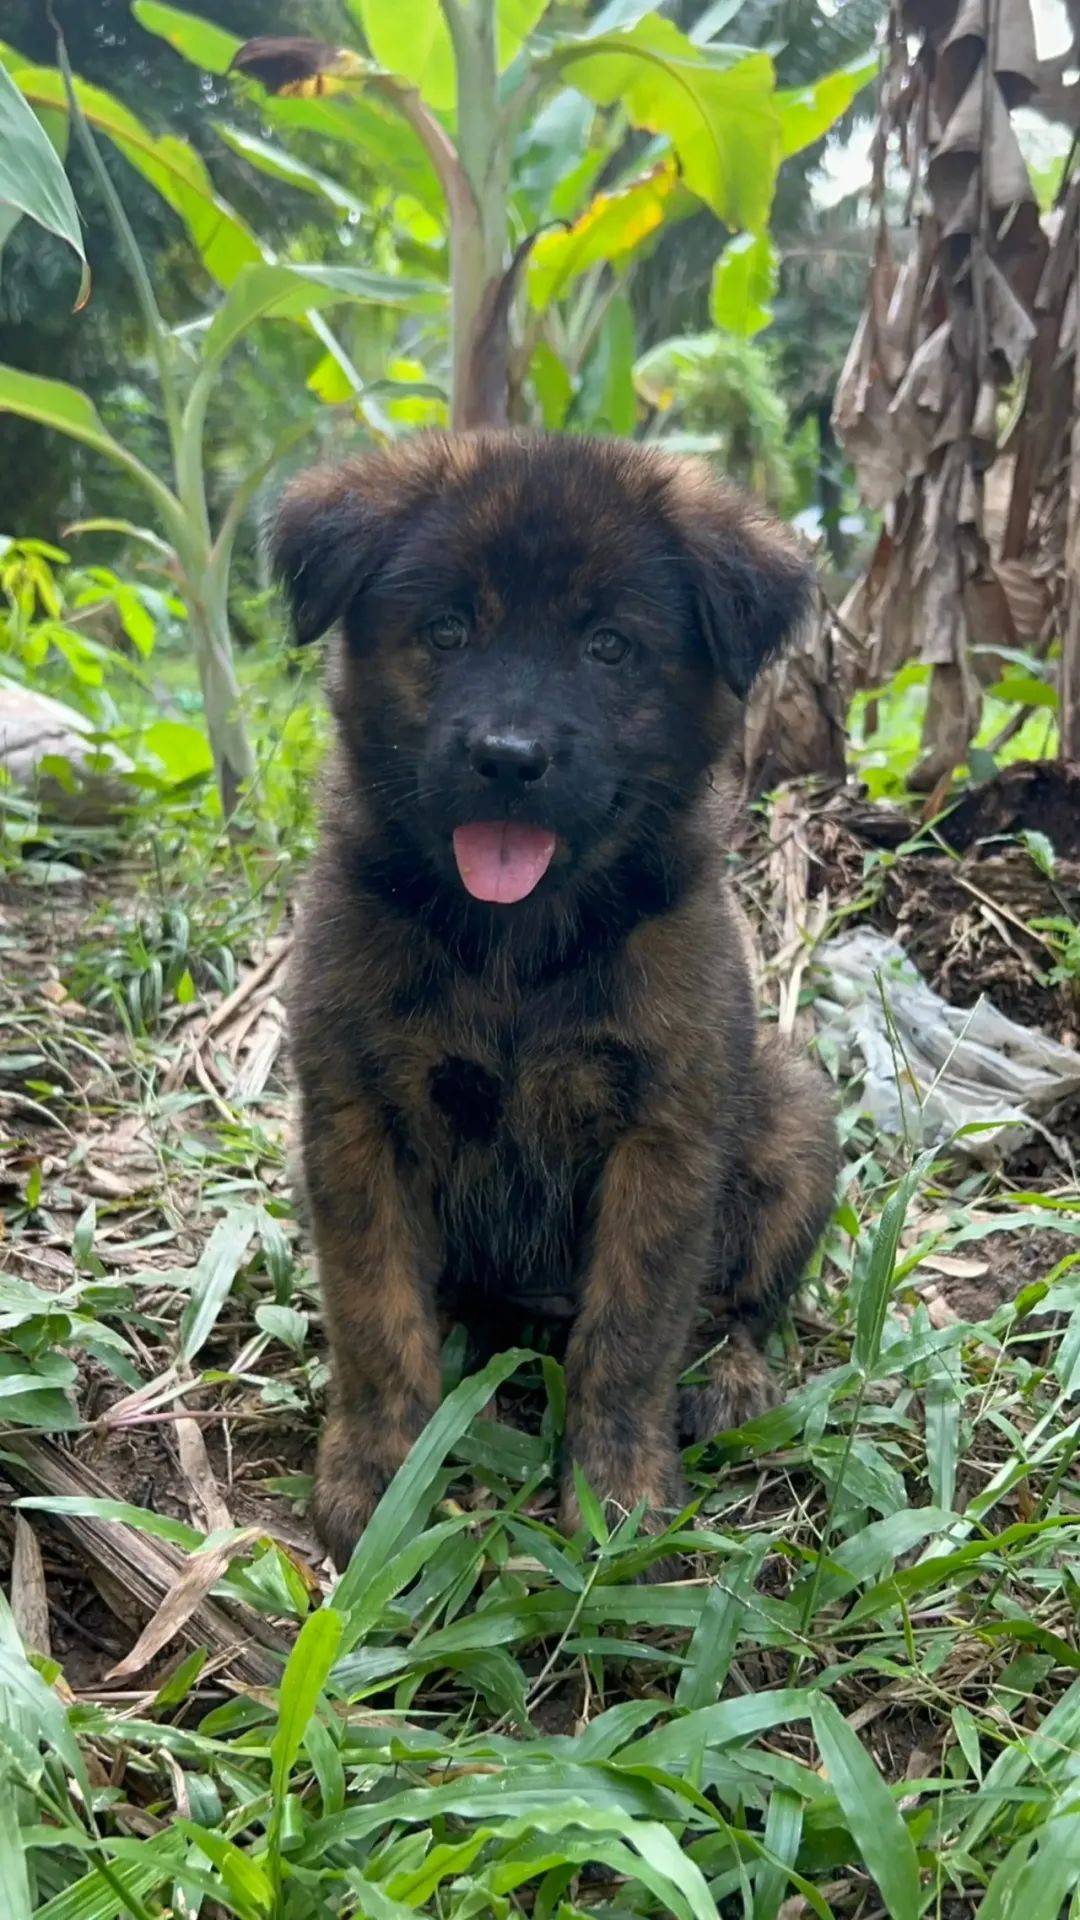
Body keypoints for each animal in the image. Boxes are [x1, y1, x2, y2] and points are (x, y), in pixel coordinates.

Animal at [274, 435, 834, 1574]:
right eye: (448, 630)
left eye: (609, 647)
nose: (508, 759)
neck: (515, 947)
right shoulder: (354, 1118)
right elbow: (374, 1313)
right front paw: (378, 1476)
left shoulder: (664, 1132)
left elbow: (629, 1334)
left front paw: (618, 1501)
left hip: (794, 1114)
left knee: (744, 1303)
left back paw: (734, 1377)